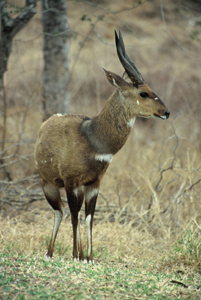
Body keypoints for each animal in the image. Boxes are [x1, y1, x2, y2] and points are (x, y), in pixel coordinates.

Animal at [34, 29, 170, 262]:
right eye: (143, 92)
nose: (166, 112)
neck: (92, 138)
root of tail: (45, 124)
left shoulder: (94, 184)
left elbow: (89, 217)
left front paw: (88, 257)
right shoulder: (70, 181)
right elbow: (74, 216)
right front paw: (75, 256)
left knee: (71, 212)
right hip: (48, 183)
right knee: (60, 212)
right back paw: (50, 252)